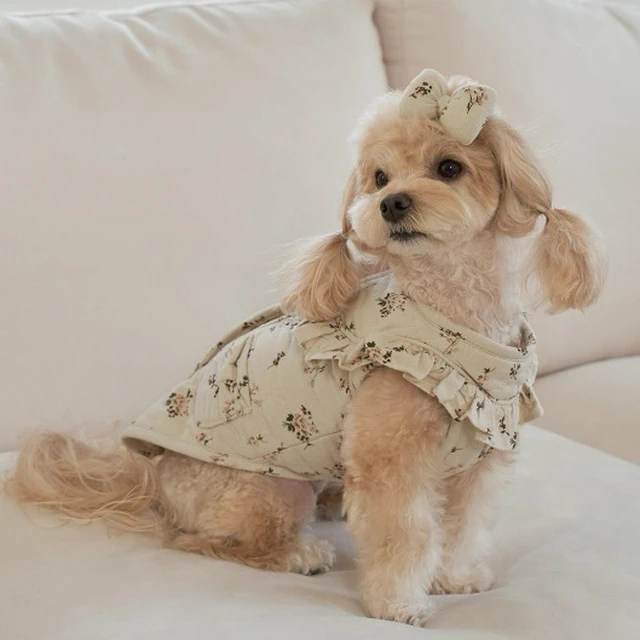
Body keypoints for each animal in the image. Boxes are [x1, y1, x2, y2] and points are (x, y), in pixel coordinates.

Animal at [6, 70, 606, 627]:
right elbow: (404, 533)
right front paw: (399, 604)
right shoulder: (390, 462)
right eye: (379, 177)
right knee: (204, 542)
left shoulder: (478, 461)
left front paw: (455, 577)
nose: (390, 203)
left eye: (449, 167)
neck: (450, 315)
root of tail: (154, 479)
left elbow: (465, 525)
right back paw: (299, 553)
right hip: (267, 493)